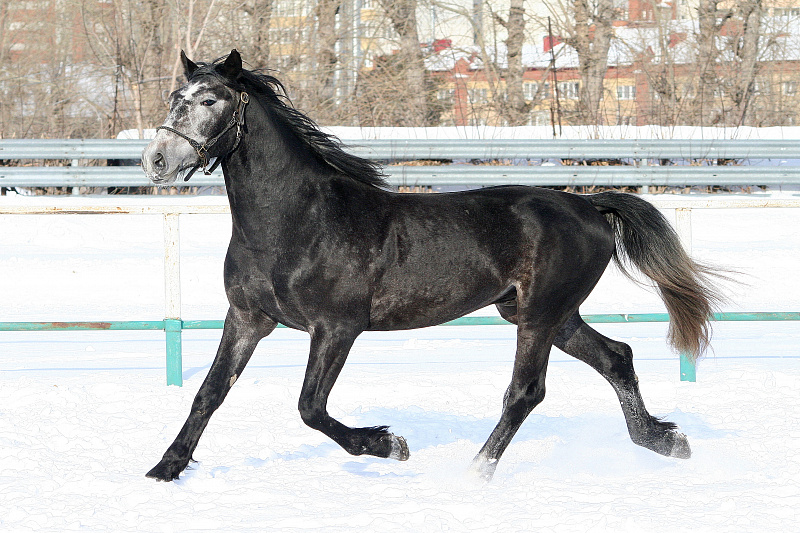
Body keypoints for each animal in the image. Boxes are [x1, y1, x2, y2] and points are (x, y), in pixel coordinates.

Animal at [141, 49, 722, 482]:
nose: (156, 161)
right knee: (616, 358)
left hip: (540, 315)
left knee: (526, 392)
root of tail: (588, 205)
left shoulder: (337, 327)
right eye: (174, 98)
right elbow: (208, 393)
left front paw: (389, 444)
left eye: (211, 99)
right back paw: (665, 441)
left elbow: (310, 406)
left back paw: (474, 472)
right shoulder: (247, 318)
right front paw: (165, 469)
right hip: (548, 314)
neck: (297, 221)